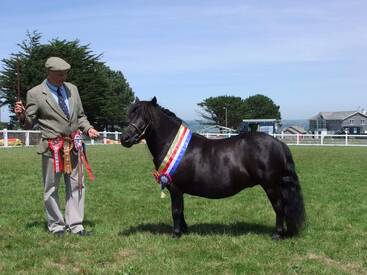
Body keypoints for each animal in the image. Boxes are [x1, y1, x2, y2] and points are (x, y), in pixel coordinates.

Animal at [121, 98, 304, 240]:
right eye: (130, 115)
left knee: (279, 207)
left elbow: (176, 210)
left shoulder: (175, 187)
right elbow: (181, 210)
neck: (171, 144)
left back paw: (277, 234)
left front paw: (176, 234)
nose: (124, 138)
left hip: (271, 186)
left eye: (145, 117)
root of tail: (279, 143)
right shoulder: (180, 190)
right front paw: (184, 230)